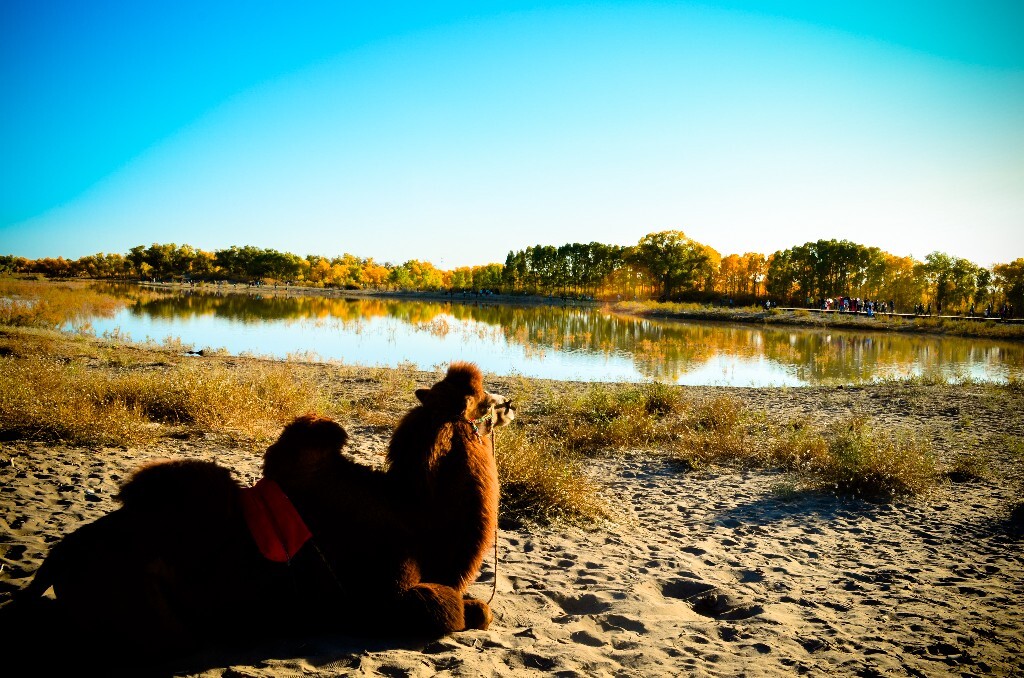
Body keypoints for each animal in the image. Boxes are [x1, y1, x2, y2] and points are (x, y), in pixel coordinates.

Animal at [9, 364, 512, 659]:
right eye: (485, 401)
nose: (510, 405)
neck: (417, 516)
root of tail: (63, 552)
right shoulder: (386, 596)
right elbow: (452, 609)